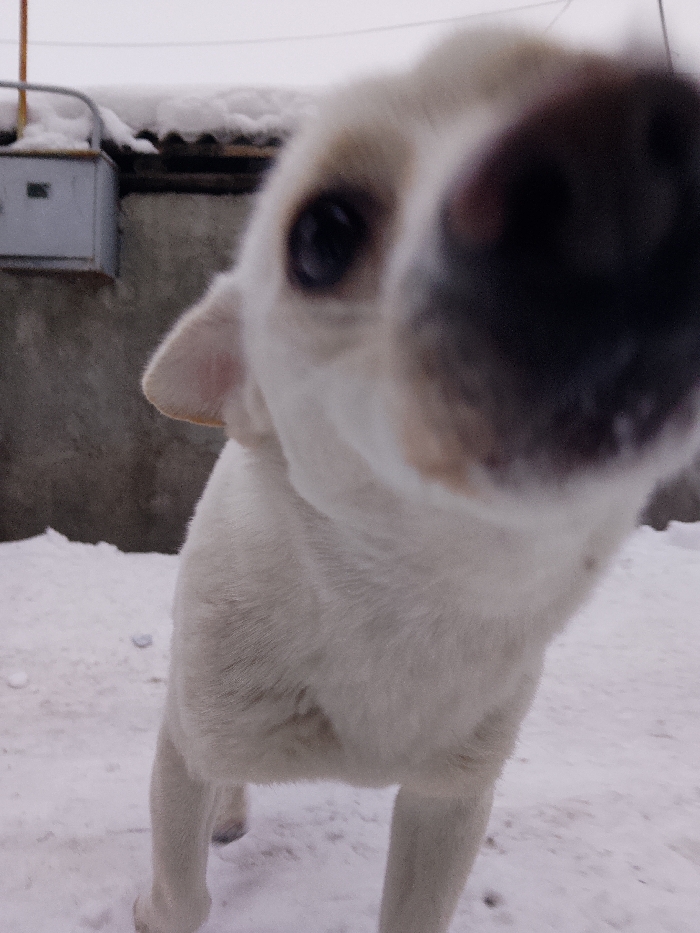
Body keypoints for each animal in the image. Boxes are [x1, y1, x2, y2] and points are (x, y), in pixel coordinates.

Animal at [134, 28, 700, 933]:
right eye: (321, 236)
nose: (615, 167)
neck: (401, 601)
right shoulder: (187, 750)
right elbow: (182, 890)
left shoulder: (451, 797)